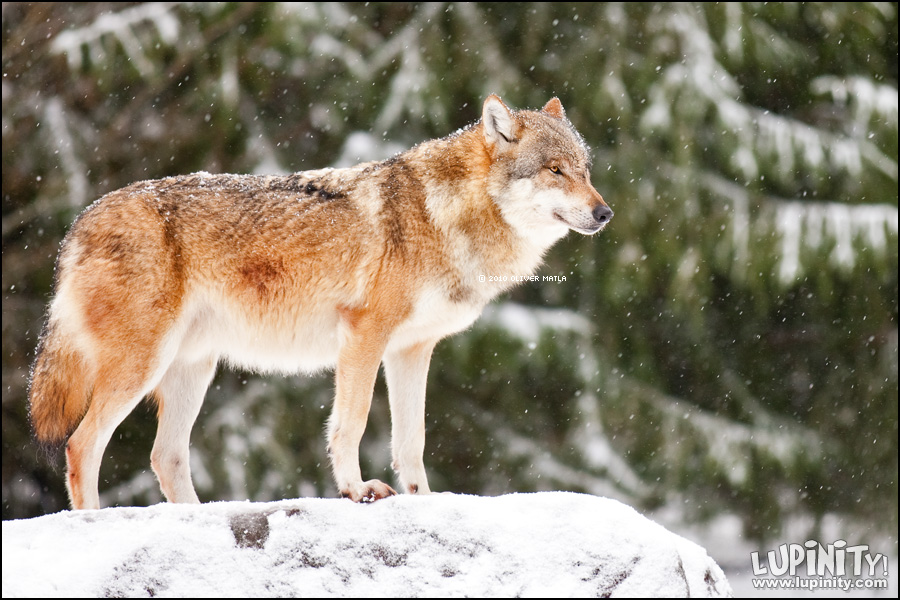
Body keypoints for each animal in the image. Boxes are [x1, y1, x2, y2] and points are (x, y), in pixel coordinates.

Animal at [31, 96, 616, 508]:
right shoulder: (364, 335)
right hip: (142, 366)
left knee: (165, 456)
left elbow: (412, 439)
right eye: (555, 170)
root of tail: (79, 224)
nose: (605, 212)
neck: (445, 218)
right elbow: (351, 423)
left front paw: (424, 500)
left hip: (192, 370)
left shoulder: (412, 350)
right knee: (82, 445)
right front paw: (356, 491)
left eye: (585, 169)